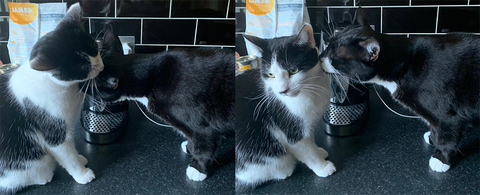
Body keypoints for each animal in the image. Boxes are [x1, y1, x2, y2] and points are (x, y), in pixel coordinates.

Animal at [0, 2, 100, 192]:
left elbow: (71, 148)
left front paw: (79, 158)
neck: (67, 88)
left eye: (94, 47)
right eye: (82, 67)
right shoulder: (53, 131)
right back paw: (43, 176)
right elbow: (66, 155)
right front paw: (82, 173)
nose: (99, 65)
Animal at [87, 30, 237, 181]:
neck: (149, 80)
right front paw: (189, 147)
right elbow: (192, 139)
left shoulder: (202, 126)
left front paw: (198, 169)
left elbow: (203, 147)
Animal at [235, 23, 334, 190]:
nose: (282, 91)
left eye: (293, 70)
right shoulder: (289, 127)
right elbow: (306, 151)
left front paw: (319, 151)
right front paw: (322, 166)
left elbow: (310, 139)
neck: (309, 89)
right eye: (270, 75)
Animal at [320, 7, 480, 172]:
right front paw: (432, 138)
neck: (407, 63)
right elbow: (435, 128)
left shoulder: (449, 115)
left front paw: (440, 159)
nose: (320, 58)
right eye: (328, 44)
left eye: (335, 57)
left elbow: (447, 136)